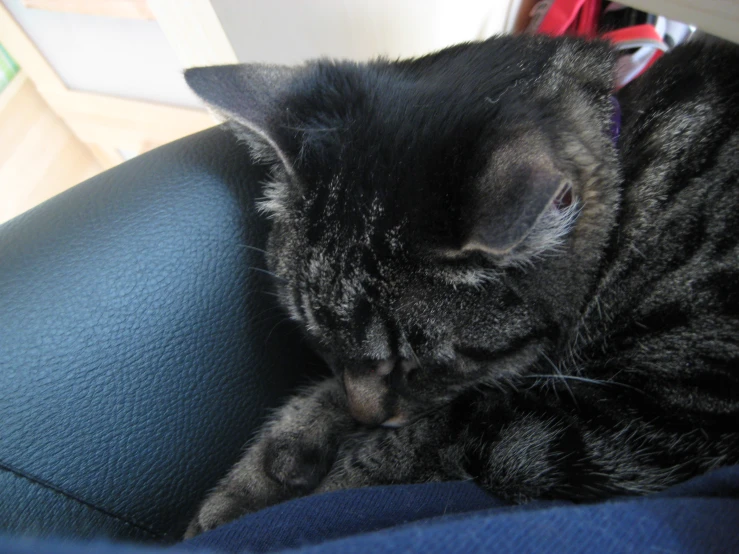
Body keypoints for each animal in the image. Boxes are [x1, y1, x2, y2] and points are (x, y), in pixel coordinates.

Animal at [182, 34, 736, 536]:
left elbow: (446, 430)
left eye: (416, 366)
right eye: (319, 343)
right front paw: (270, 465)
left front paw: (323, 486)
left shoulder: (653, 426)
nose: (367, 417)